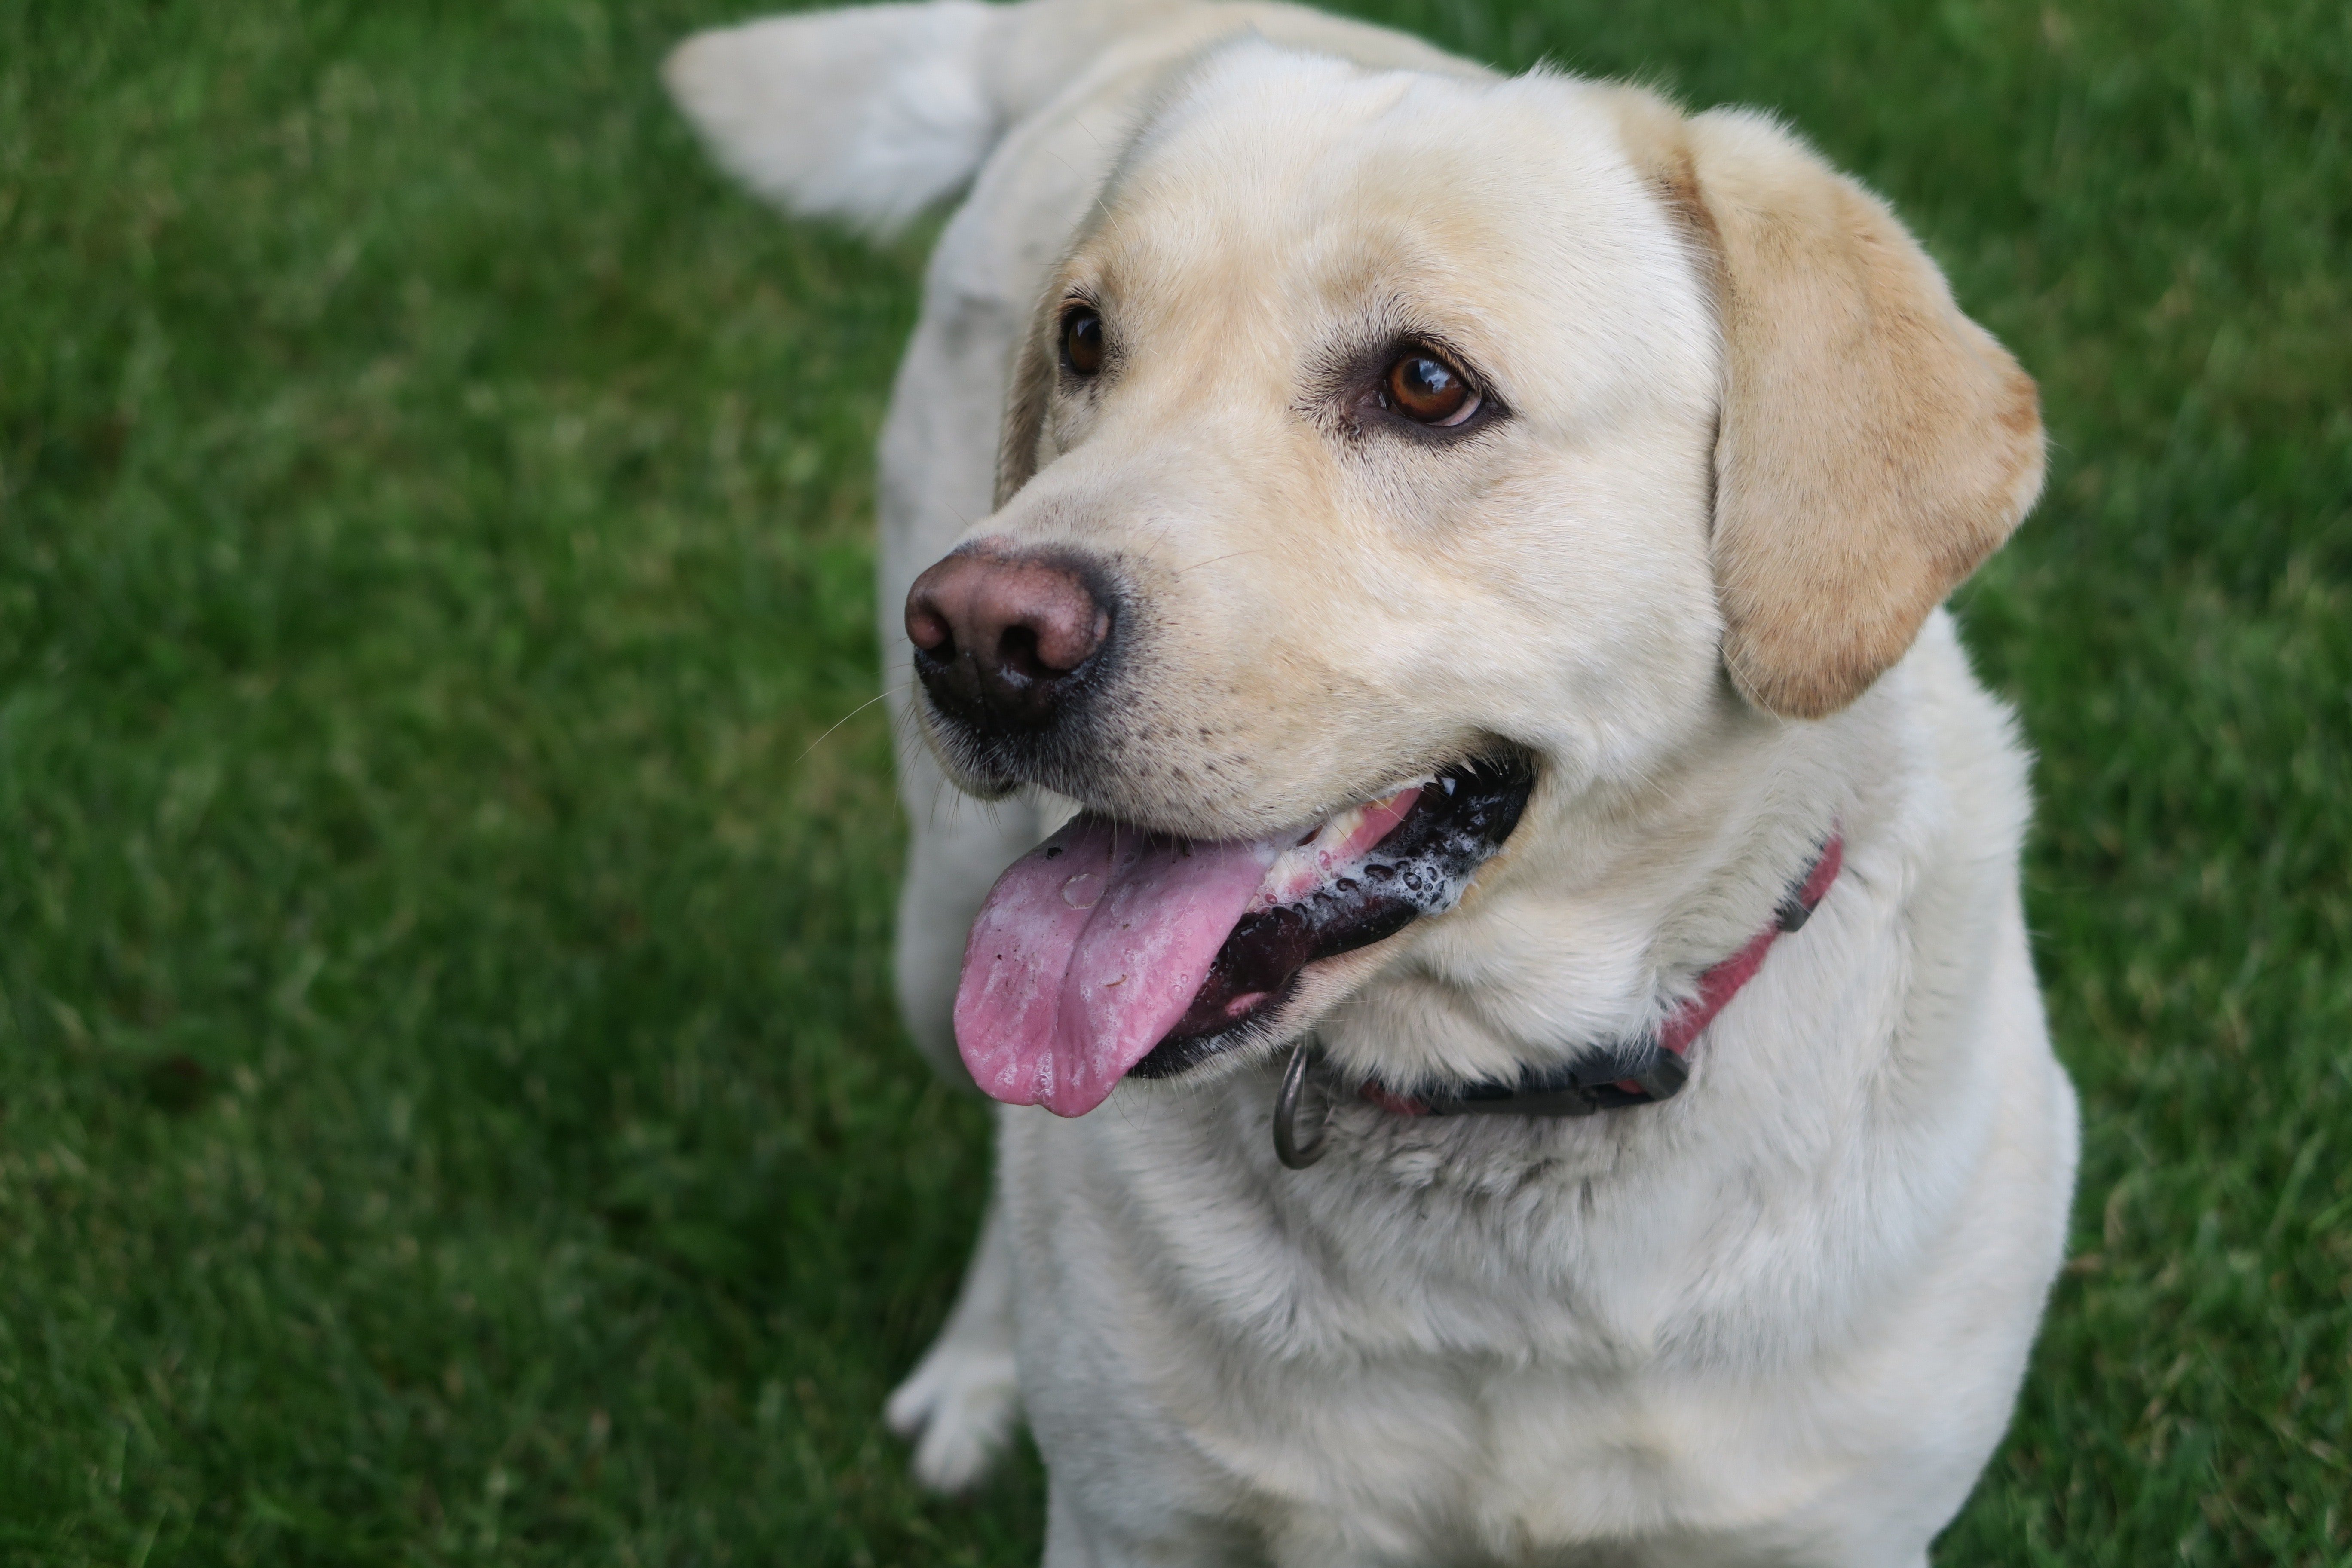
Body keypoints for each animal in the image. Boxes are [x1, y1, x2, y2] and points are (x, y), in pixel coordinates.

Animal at [668, 6, 2079, 1561]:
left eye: (1425, 385)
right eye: (1086, 339)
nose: (979, 638)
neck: (1485, 1116)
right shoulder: (1128, 1516)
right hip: (939, 934)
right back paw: (982, 1371)